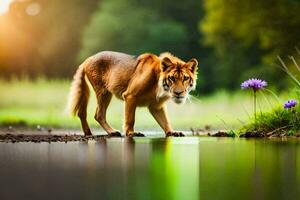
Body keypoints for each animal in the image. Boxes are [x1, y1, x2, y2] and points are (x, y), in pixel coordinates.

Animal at [69, 50, 198, 137]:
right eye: (172, 78)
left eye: (185, 78)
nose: (178, 93)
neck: (160, 88)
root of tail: (88, 58)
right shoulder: (130, 96)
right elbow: (130, 118)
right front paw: (131, 133)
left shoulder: (156, 106)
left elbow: (165, 120)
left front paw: (172, 132)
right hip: (103, 92)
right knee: (98, 114)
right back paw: (112, 132)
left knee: (86, 113)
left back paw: (90, 133)